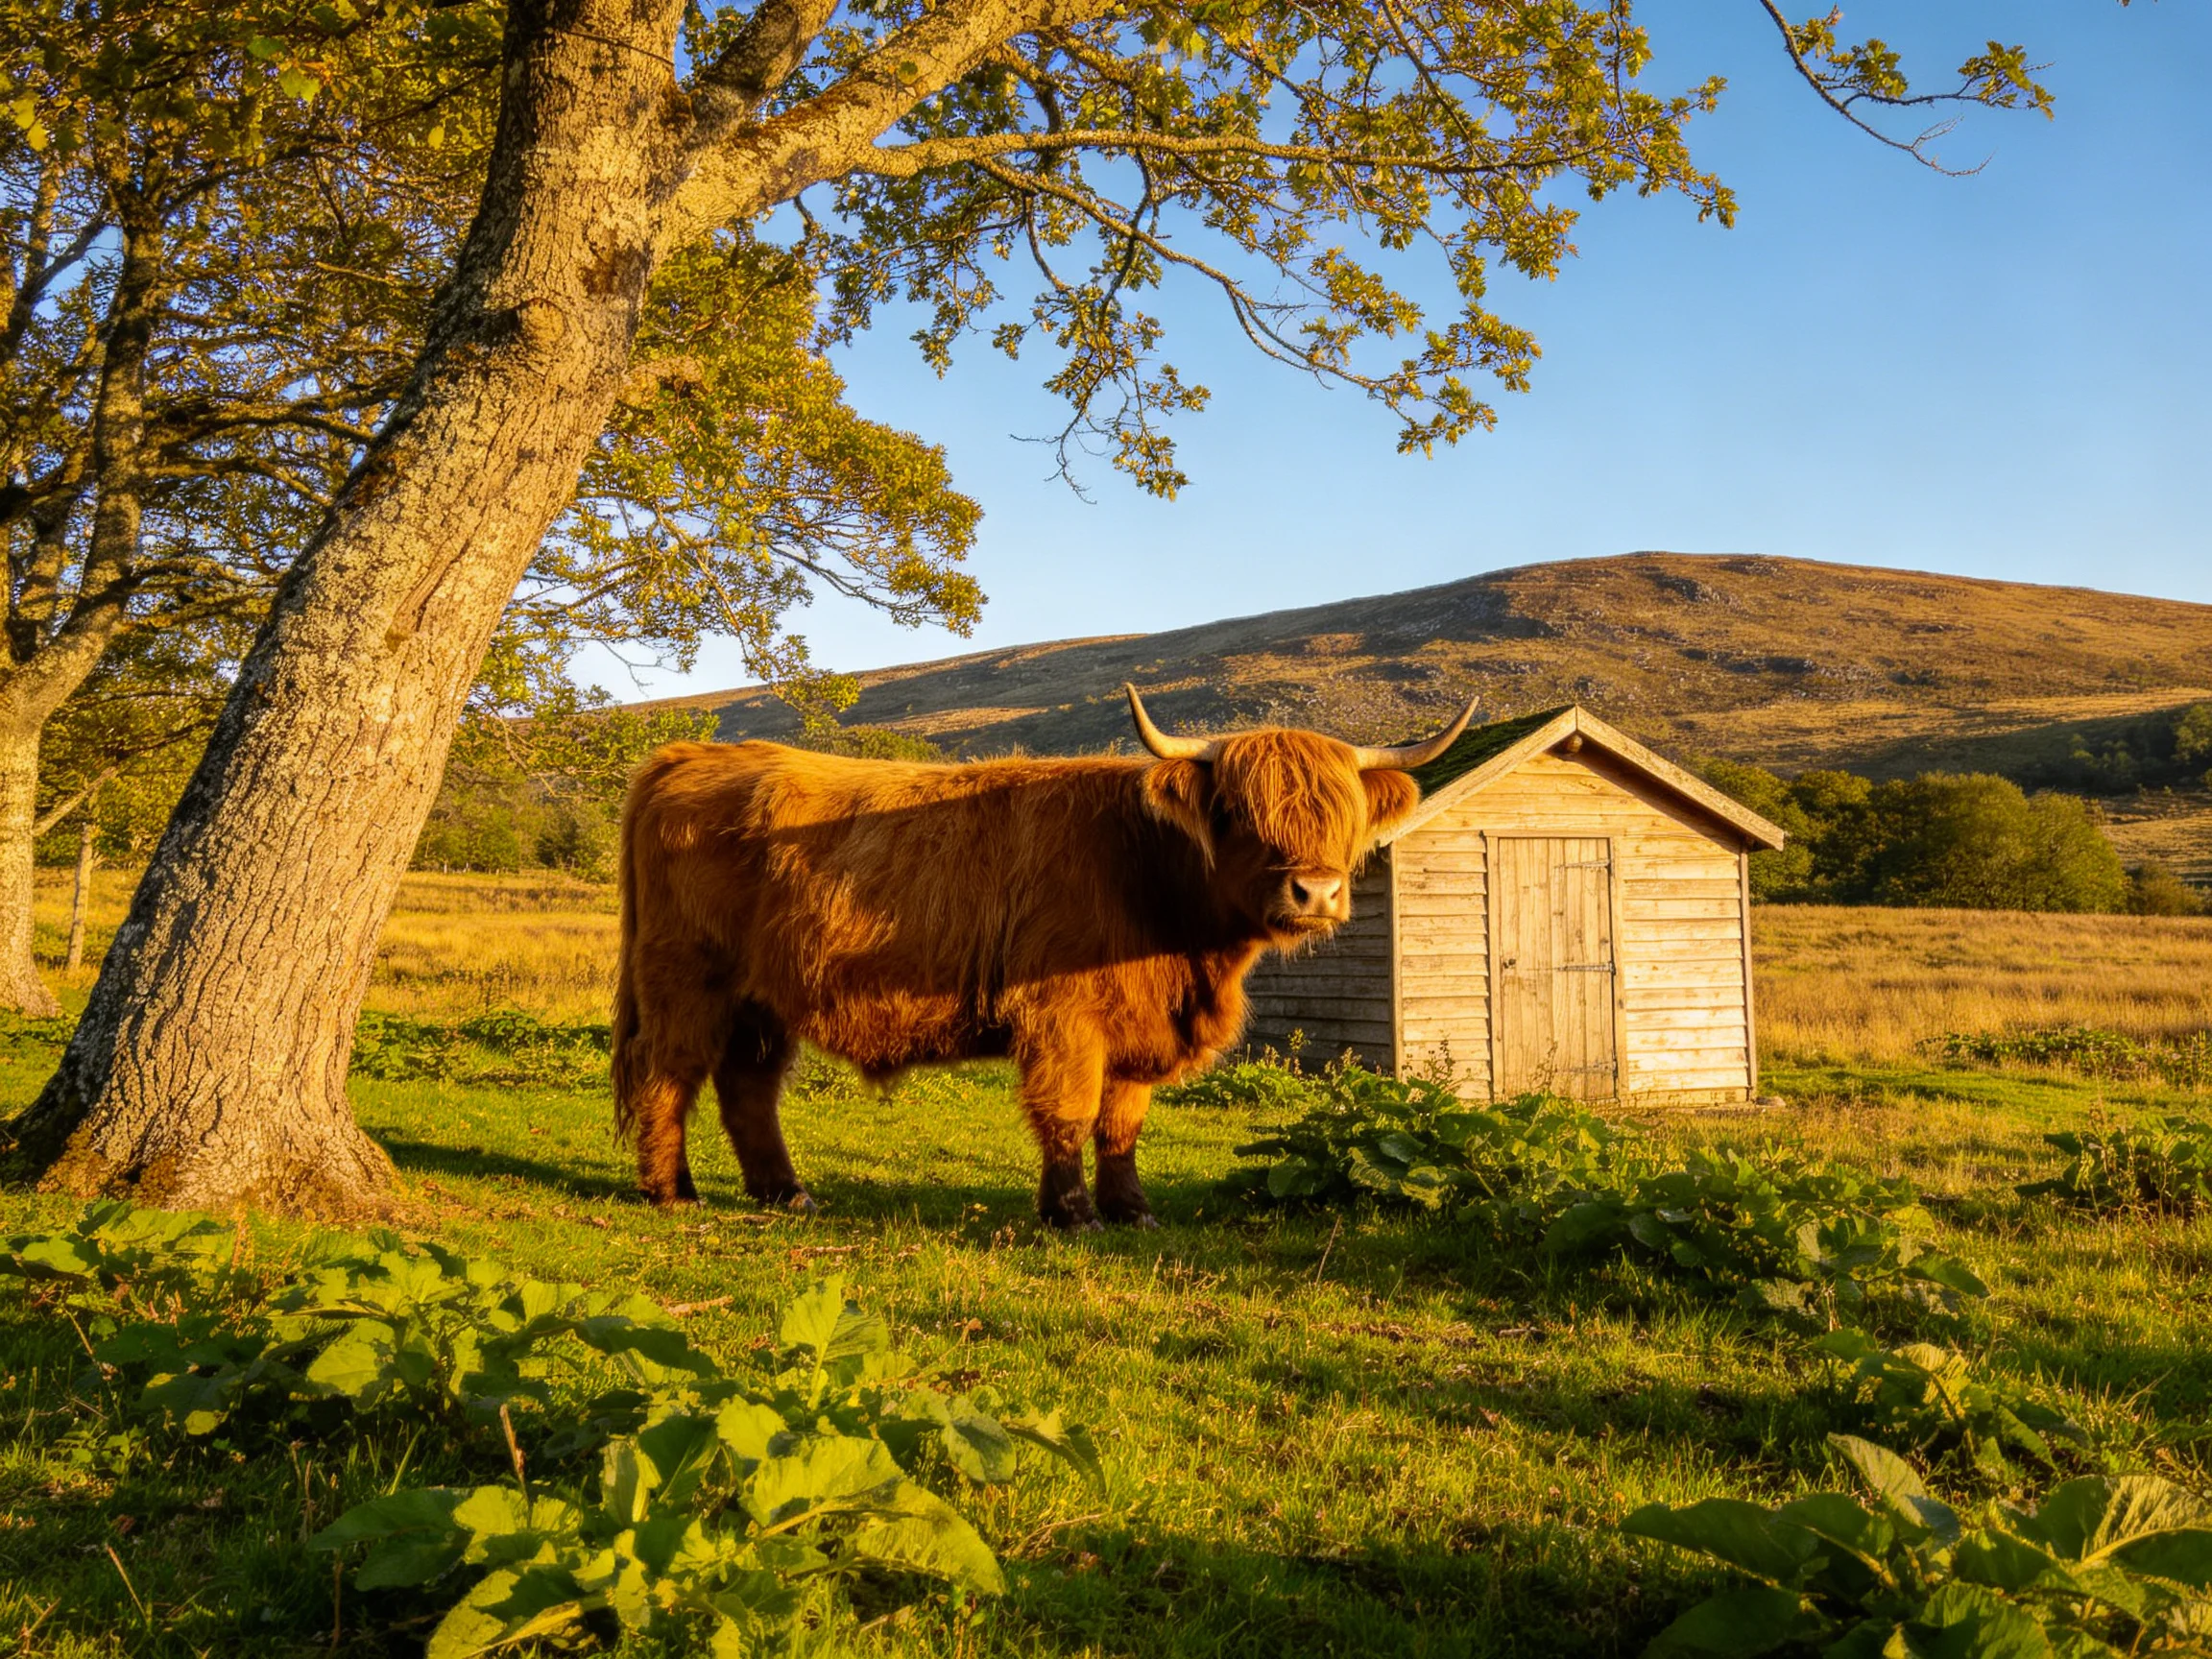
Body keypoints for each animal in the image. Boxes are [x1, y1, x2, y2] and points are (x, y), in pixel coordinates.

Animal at [610, 686, 1475, 1229]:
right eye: (1235, 808)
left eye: (1344, 810)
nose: (1315, 892)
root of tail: (687, 757)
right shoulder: (1064, 1020)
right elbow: (1070, 1113)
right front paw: (1073, 1213)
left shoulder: (1136, 1025)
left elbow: (1123, 1122)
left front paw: (1133, 1210)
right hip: (688, 978)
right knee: (670, 1074)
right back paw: (672, 1191)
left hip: (763, 997)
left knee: (747, 1088)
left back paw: (784, 1193)